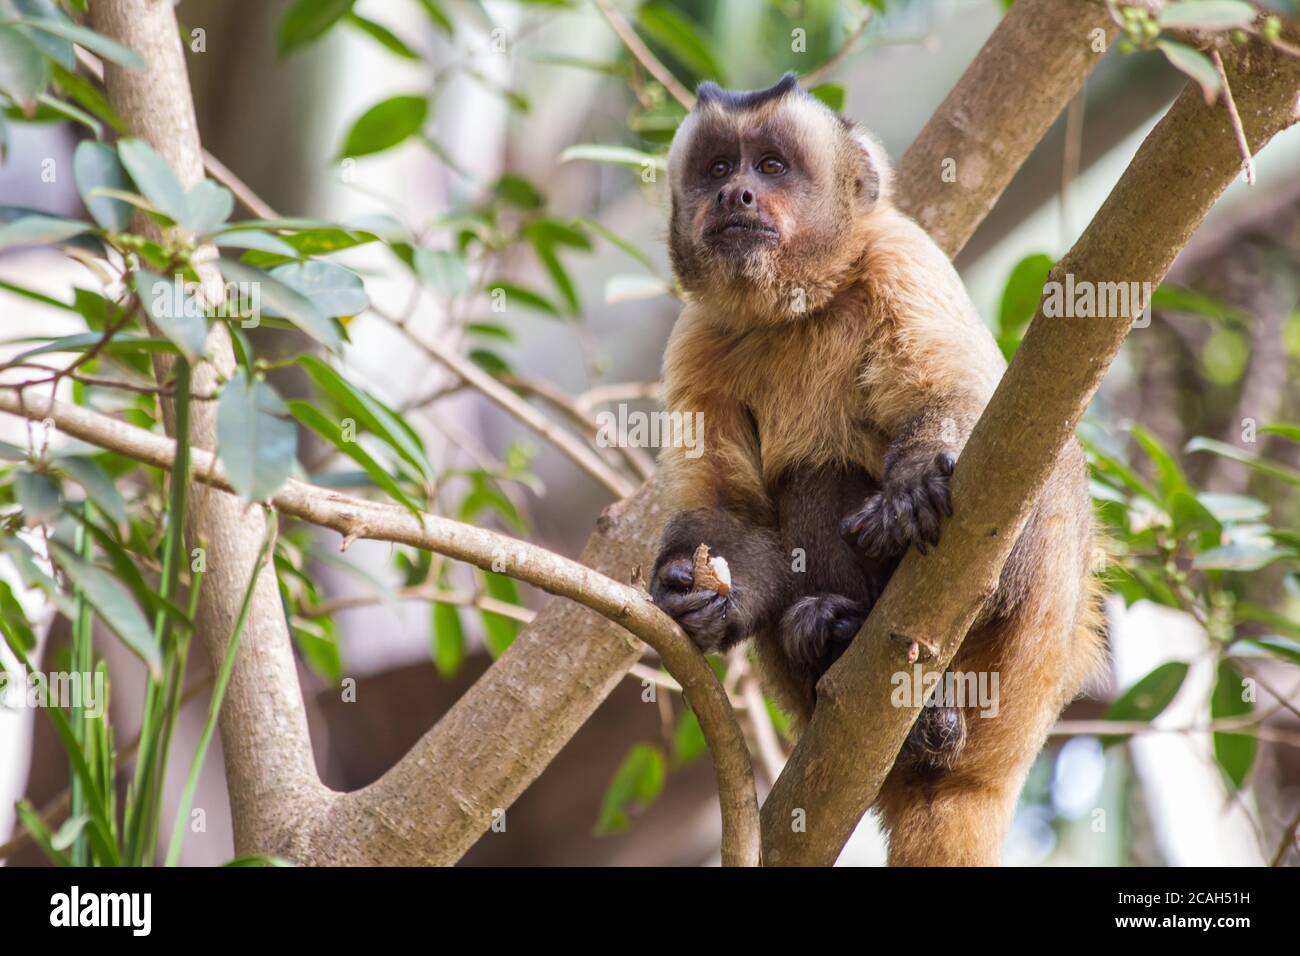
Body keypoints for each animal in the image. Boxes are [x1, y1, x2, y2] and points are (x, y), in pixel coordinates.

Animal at [650, 74, 1107, 868]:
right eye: (718, 168)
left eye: (772, 167)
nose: (735, 194)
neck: (801, 307)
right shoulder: (698, 335)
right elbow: (735, 516)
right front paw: (694, 596)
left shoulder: (903, 255)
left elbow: (966, 395)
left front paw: (915, 482)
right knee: (812, 480)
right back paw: (835, 637)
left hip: (1016, 663)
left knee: (1038, 452)